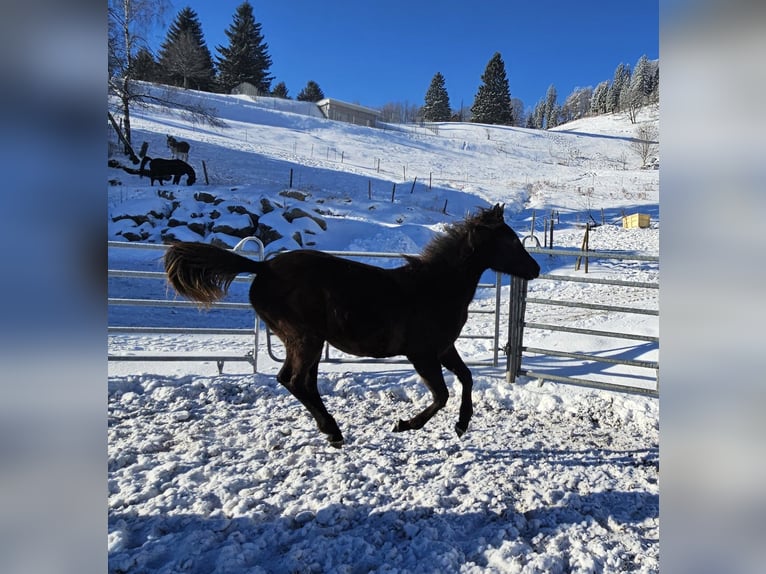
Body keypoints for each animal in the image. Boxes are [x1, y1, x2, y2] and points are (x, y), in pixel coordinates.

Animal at [164, 204, 540, 447]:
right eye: (511, 241)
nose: (535, 269)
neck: (436, 286)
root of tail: (262, 268)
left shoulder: (444, 348)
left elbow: (467, 378)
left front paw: (462, 425)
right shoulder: (422, 354)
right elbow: (442, 394)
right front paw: (405, 425)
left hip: (309, 342)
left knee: (303, 382)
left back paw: (331, 431)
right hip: (304, 339)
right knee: (293, 380)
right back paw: (333, 431)